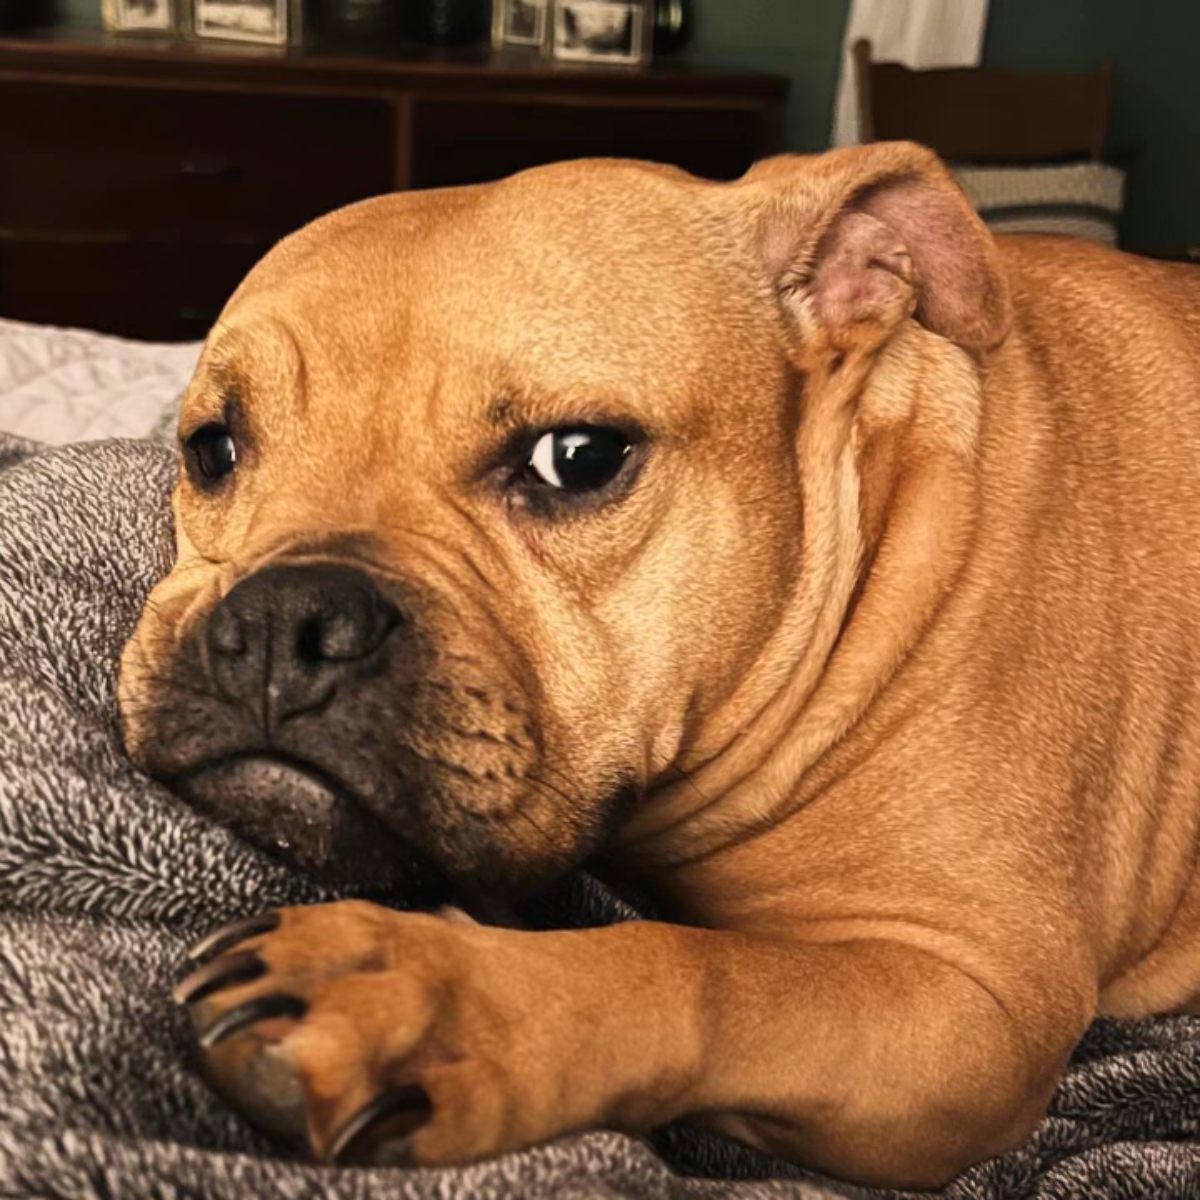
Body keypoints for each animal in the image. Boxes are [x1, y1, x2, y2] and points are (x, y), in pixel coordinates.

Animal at [117, 145, 1200, 1185]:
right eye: (212, 448)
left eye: (578, 458)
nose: (282, 619)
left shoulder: (976, 1007)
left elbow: (716, 970)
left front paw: (448, 1000)